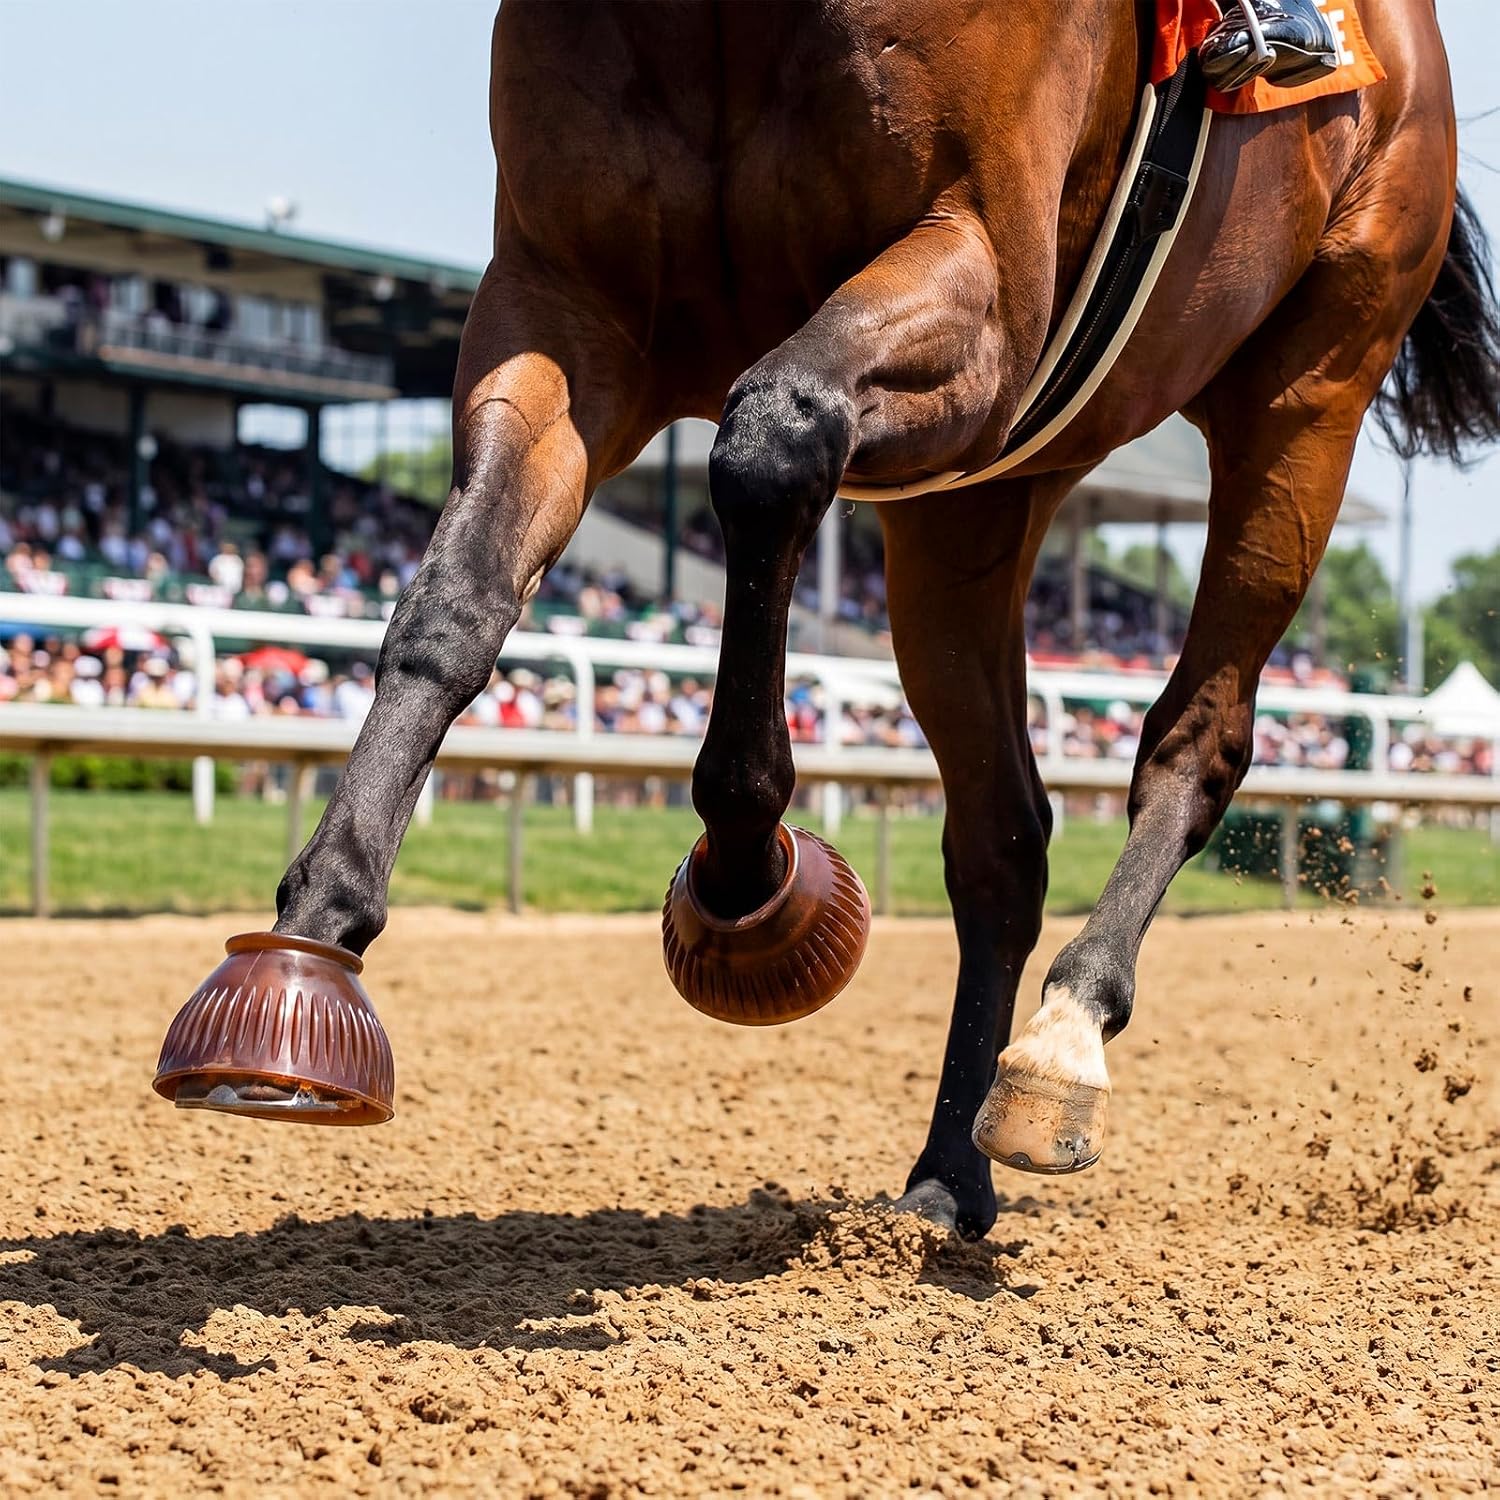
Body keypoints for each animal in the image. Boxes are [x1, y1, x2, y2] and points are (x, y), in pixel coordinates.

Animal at [166, 0, 1500, 1240]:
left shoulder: (980, 285)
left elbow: (771, 436)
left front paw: (748, 870)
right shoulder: (569, 302)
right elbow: (456, 592)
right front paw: (310, 946)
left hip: (1307, 396)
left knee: (1200, 735)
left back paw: (1064, 1038)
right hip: (972, 511)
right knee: (1004, 834)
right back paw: (948, 1171)